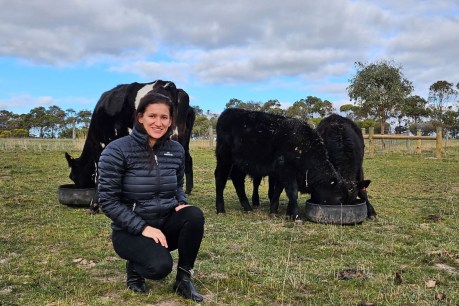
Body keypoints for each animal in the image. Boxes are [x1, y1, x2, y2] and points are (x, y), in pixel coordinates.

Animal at [64, 80, 194, 212]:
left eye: (72, 176)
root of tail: (169, 85)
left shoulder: (101, 146)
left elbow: (99, 174)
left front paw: (94, 205)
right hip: (182, 138)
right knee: (187, 159)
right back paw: (187, 191)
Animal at [214, 109, 354, 219]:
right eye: (340, 199)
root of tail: (228, 112)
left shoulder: (281, 173)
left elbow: (278, 191)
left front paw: (276, 212)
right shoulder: (286, 169)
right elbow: (292, 192)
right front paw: (296, 216)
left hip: (240, 163)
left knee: (237, 179)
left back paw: (247, 208)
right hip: (224, 158)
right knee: (220, 178)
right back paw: (220, 209)